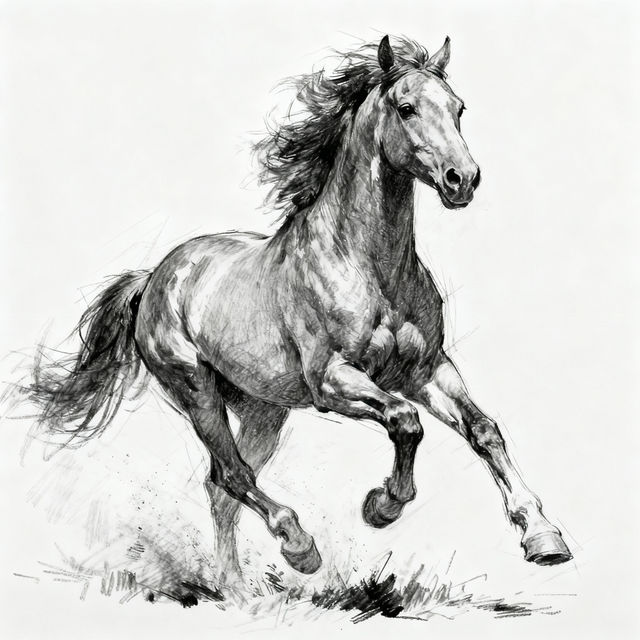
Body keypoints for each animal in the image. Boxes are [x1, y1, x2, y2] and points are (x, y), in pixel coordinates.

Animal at [27, 35, 572, 586]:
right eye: (407, 108)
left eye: (458, 108)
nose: (463, 180)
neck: (369, 265)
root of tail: (157, 277)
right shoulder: (332, 381)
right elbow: (405, 420)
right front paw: (382, 505)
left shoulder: (426, 370)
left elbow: (483, 431)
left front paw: (543, 537)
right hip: (195, 390)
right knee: (232, 475)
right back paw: (298, 547)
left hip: (264, 410)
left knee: (221, 491)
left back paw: (238, 591)